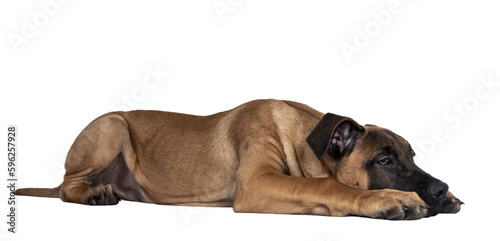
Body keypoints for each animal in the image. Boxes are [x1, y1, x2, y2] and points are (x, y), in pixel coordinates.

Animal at [16, 99, 460, 219]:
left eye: (412, 155)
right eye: (384, 161)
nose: (439, 189)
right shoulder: (256, 182)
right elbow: (325, 185)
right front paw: (387, 199)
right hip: (111, 126)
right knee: (67, 188)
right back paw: (94, 194)